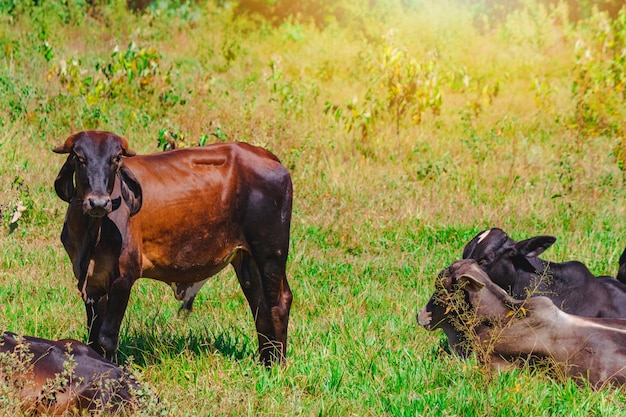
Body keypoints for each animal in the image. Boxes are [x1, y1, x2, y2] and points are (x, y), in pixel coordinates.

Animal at [52, 130, 292, 364]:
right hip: (246, 260)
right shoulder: (89, 281)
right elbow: (93, 336)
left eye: (116, 159)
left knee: (278, 303)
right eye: (79, 158)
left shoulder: (123, 278)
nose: (99, 203)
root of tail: (271, 158)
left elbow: (106, 338)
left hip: (271, 254)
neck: (93, 230)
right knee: (260, 306)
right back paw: (265, 361)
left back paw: (276, 365)